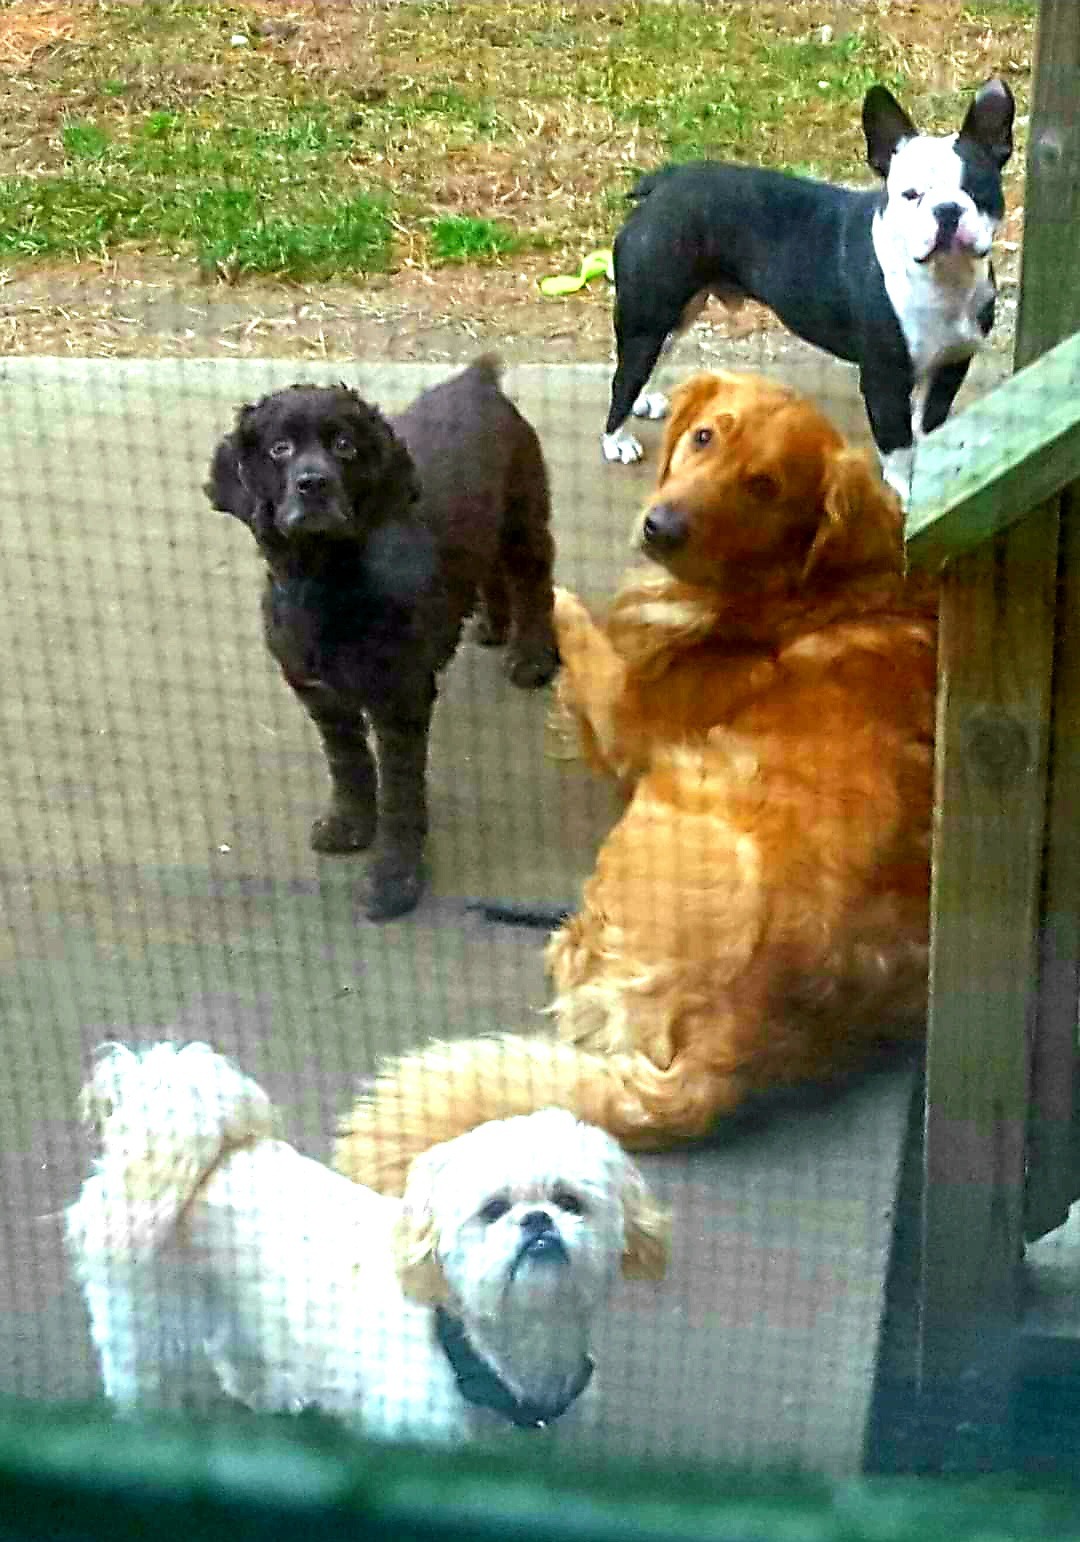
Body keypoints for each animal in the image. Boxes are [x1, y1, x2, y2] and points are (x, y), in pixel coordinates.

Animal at [206, 356, 559, 920]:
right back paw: (491, 627)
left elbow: (399, 795)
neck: (327, 582)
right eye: (279, 449)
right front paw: (349, 825)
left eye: (343, 445)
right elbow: (349, 765)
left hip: (523, 514)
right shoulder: (324, 698)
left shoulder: (399, 702)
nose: (313, 484)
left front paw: (395, 880)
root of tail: (475, 380)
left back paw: (531, 656)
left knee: (533, 579)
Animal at [334, 371, 938, 1194]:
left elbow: (576, 623)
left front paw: (549, 606)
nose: (661, 526)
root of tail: (723, 1050)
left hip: (681, 783)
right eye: (705, 436)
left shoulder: (626, 718)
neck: (806, 590)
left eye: (765, 485)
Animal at [601, 76, 1014, 503]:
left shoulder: (951, 366)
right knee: (624, 378)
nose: (947, 209)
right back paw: (617, 440)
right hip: (650, 315)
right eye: (911, 195)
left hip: (677, 311)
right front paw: (900, 495)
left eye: (978, 190)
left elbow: (929, 428)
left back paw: (643, 401)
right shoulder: (885, 382)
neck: (943, 279)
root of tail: (663, 184)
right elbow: (899, 449)